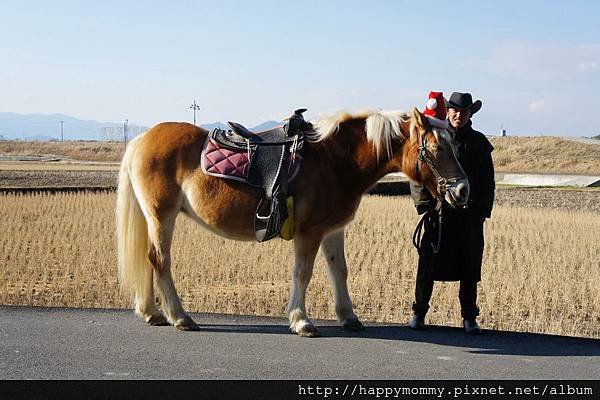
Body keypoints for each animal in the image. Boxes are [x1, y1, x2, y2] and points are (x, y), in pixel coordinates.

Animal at [115, 105, 466, 334]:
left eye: (454, 146)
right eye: (435, 148)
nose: (463, 190)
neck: (335, 160)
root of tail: (141, 139)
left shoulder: (333, 231)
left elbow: (339, 271)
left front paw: (348, 317)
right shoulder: (309, 233)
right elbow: (303, 273)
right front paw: (301, 321)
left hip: (153, 217)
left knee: (149, 259)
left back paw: (151, 312)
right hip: (162, 215)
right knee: (160, 260)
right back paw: (179, 316)